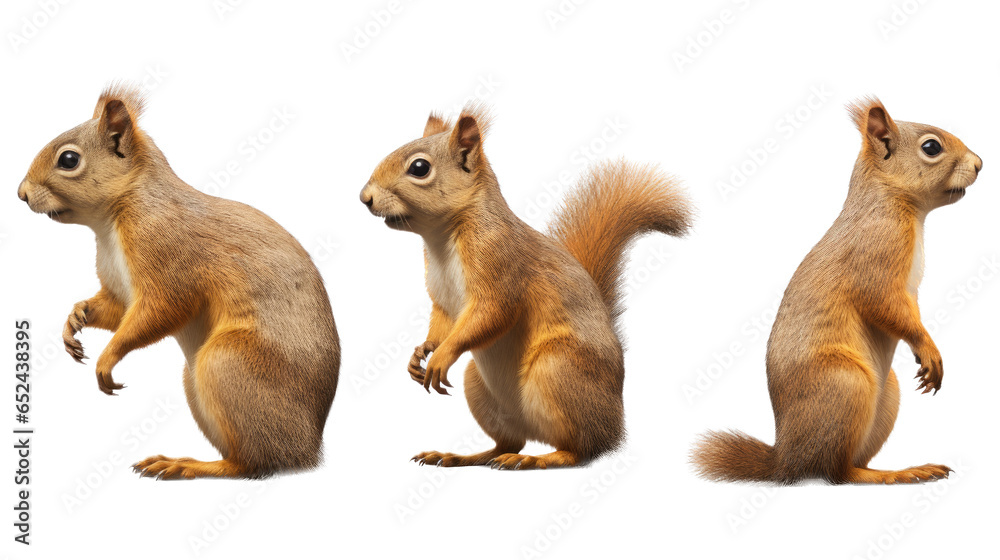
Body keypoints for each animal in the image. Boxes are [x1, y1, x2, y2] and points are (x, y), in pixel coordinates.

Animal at [16, 85, 340, 479]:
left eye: (68, 160)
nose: (21, 193)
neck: (111, 222)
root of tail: (310, 450)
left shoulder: (168, 254)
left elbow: (161, 310)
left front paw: (107, 358)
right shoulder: (119, 288)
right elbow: (114, 309)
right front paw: (75, 318)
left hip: (227, 363)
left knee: (250, 463)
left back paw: (187, 464)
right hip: (197, 379)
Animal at [360, 106, 692, 469]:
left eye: (419, 168)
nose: (365, 198)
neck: (441, 239)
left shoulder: (500, 265)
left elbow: (493, 313)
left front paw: (442, 355)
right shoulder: (442, 298)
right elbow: (442, 320)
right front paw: (422, 351)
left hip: (557, 369)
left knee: (582, 449)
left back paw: (541, 459)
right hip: (479, 387)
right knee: (508, 443)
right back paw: (462, 456)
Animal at [692, 97, 982, 484]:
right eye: (932, 147)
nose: (979, 164)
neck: (894, 203)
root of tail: (786, 458)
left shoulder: (910, 288)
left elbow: (910, 311)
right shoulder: (875, 255)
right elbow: (886, 306)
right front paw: (928, 349)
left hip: (886, 394)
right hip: (847, 385)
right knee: (837, 472)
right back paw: (893, 474)